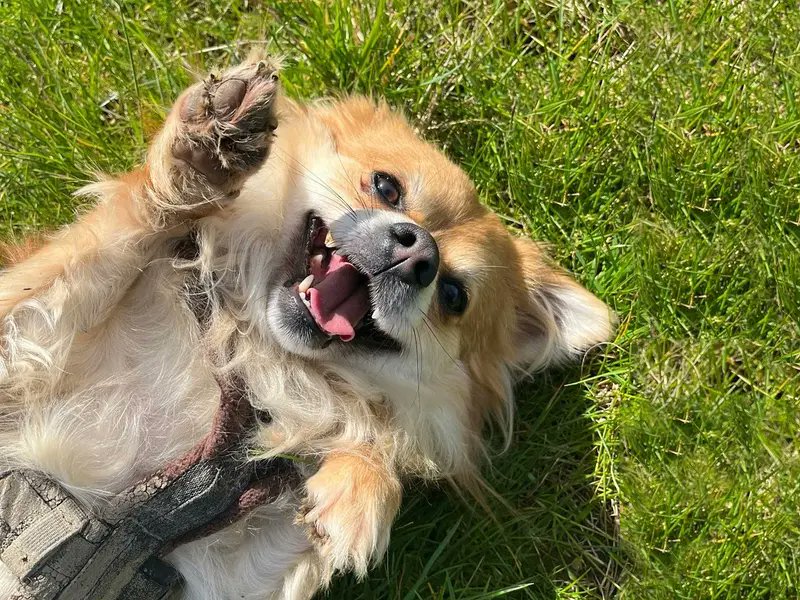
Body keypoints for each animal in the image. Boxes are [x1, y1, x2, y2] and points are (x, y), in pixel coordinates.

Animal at [0, 57, 612, 600]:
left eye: (454, 296)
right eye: (386, 187)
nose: (420, 253)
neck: (251, 346)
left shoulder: (200, 571)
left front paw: (363, 482)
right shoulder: (20, 332)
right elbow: (117, 236)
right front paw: (198, 160)